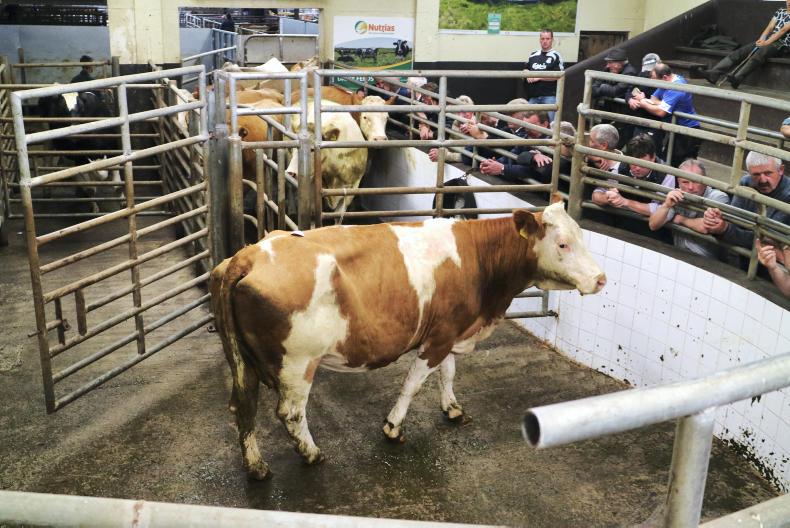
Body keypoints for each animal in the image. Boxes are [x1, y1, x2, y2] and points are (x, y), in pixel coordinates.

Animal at [210, 197, 606, 479]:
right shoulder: (439, 338)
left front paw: (452, 408)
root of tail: (248, 255)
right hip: (297, 362)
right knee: (290, 413)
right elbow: (414, 383)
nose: (601, 279)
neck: (477, 257)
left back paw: (256, 467)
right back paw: (312, 454)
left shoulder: (450, 328)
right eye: (563, 244)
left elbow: (448, 373)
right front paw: (393, 428)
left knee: (243, 405)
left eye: (582, 237)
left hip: (242, 361)